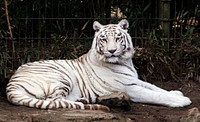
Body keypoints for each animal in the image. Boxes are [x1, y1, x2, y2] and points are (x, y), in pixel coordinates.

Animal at [5, 19, 191, 110]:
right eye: (104, 39)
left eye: (118, 38)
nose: (112, 51)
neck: (124, 60)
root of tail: (11, 84)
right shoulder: (129, 87)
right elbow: (154, 94)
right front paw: (182, 100)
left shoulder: (133, 80)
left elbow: (155, 87)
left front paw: (176, 93)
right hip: (62, 76)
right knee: (54, 100)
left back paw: (84, 99)